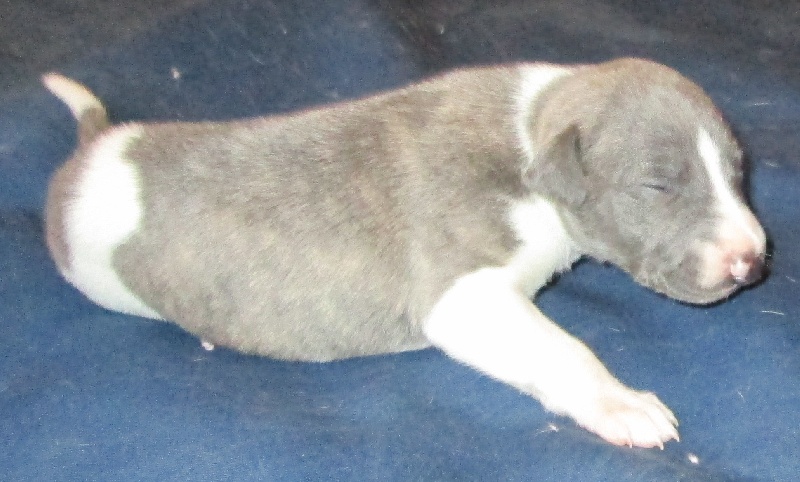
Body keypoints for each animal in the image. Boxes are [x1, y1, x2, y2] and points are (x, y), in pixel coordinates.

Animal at [43, 58, 766, 449]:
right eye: (657, 184)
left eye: (739, 171)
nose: (753, 261)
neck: (530, 132)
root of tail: (94, 149)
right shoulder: (464, 294)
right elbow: (564, 349)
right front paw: (620, 404)